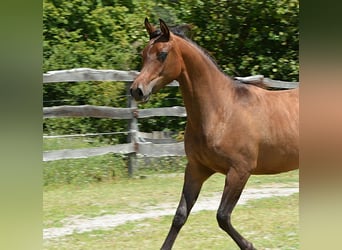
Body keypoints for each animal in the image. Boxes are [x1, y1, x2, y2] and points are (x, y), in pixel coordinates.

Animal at [130, 18, 298, 249]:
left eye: (162, 53)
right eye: (143, 54)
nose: (137, 90)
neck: (221, 111)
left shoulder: (239, 171)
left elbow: (222, 216)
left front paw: (250, 245)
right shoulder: (196, 169)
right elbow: (180, 215)